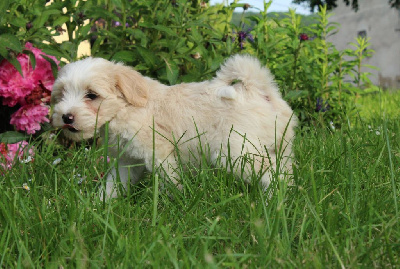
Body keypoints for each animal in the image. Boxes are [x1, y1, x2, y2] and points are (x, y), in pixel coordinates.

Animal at [50, 54, 296, 197]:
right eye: (61, 94)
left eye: (91, 95)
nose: (66, 117)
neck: (126, 108)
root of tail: (258, 89)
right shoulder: (128, 161)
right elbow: (113, 185)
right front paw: (99, 206)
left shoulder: (160, 154)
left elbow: (170, 182)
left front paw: (175, 204)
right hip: (275, 145)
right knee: (284, 167)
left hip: (236, 152)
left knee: (274, 172)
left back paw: (276, 199)